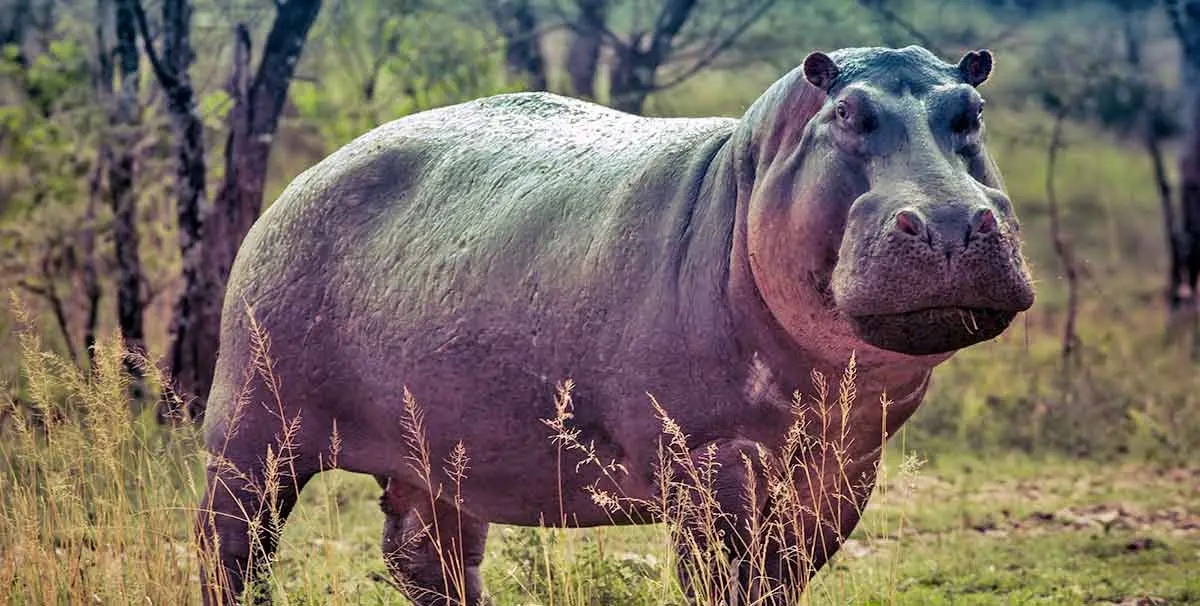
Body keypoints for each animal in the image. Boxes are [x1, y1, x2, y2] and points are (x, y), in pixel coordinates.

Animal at [196, 45, 1032, 602]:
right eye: (849, 113)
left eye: (973, 113)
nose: (951, 221)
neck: (746, 174)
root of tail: (307, 175)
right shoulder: (710, 462)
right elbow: (723, 583)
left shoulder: (843, 469)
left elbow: (779, 582)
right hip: (252, 429)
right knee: (230, 547)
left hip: (435, 459)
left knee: (426, 558)